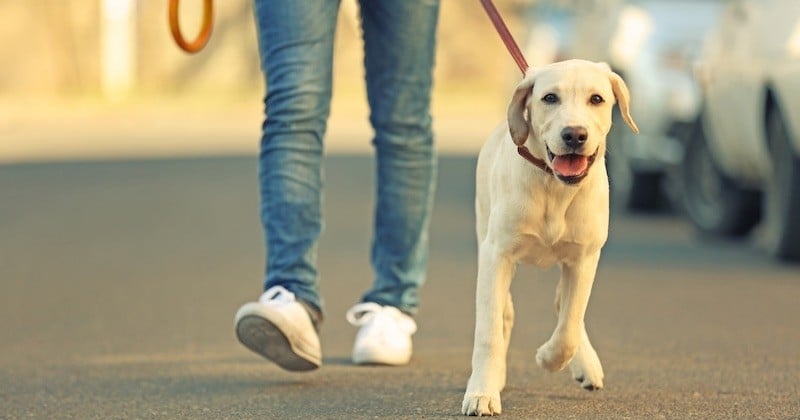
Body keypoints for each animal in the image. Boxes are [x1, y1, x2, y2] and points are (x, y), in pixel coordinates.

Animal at [460, 60, 640, 416]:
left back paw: (586, 364)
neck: (554, 188)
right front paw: (483, 391)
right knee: (505, 312)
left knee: (566, 305)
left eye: (597, 99)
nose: (574, 135)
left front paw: (549, 357)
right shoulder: (497, 255)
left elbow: (569, 324)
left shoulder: (584, 258)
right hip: (485, 229)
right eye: (549, 98)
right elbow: (489, 331)